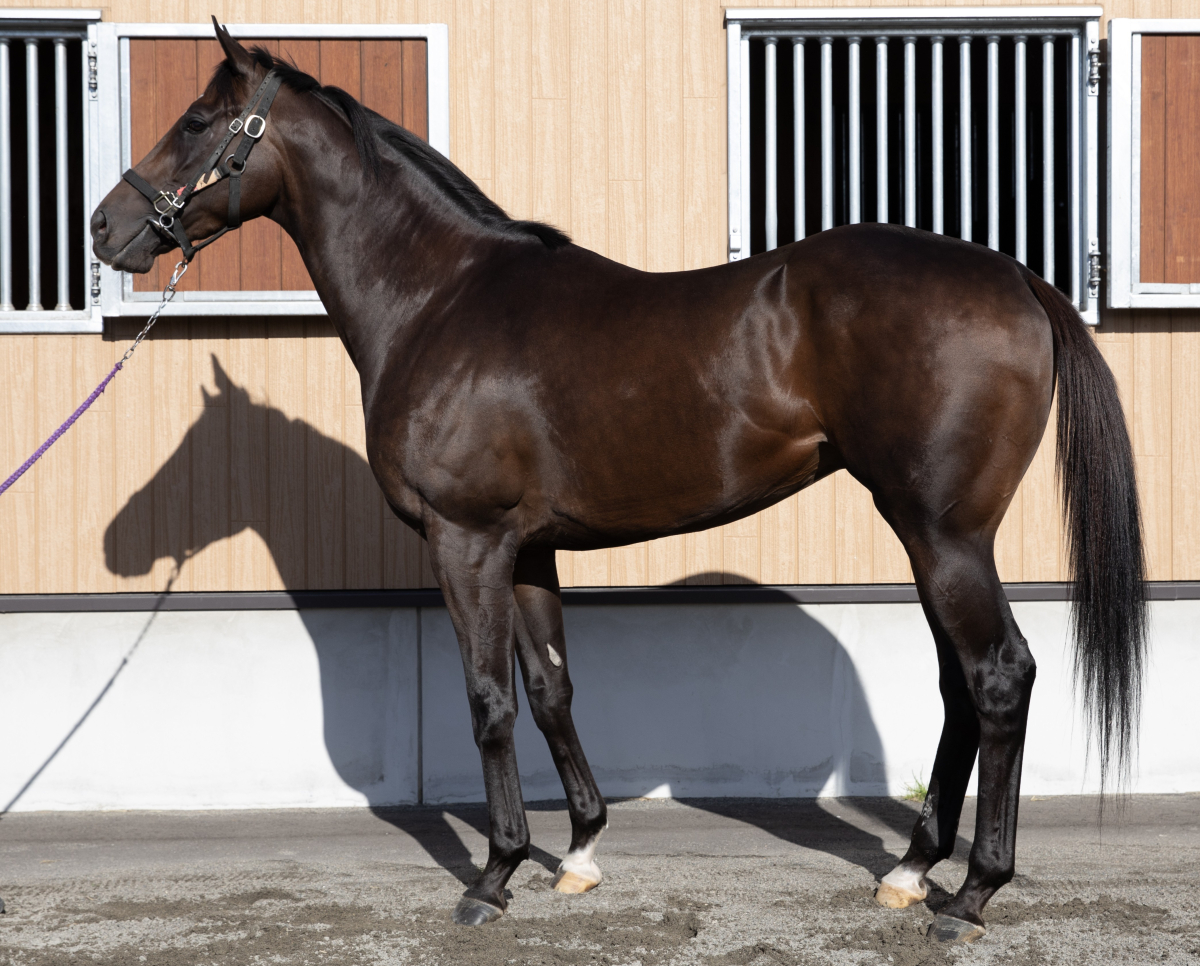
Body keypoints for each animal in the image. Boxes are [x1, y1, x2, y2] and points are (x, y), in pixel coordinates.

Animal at [90, 20, 1146, 942]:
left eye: (196, 121)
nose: (106, 227)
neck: (439, 300)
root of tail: (1017, 278)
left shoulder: (467, 540)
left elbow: (487, 700)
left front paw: (493, 876)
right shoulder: (527, 550)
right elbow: (551, 687)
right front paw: (579, 853)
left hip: (943, 532)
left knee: (999, 676)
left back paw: (970, 895)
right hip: (931, 535)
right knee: (960, 686)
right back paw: (909, 870)